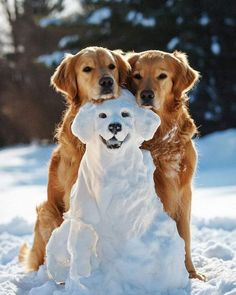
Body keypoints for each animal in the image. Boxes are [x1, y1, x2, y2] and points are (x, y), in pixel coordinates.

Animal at [126, 50, 206, 282]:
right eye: (137, 76)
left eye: (162, 75)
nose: (146, 95)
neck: (162, 136)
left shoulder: (184, 192)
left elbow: (185, 235)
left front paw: (192, 274)